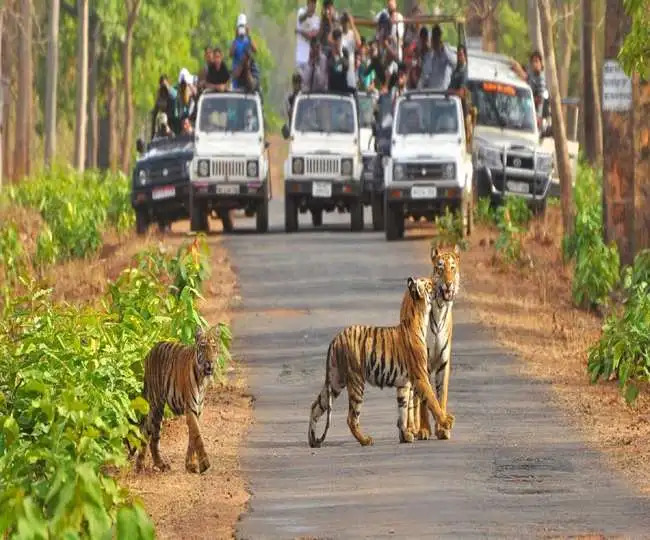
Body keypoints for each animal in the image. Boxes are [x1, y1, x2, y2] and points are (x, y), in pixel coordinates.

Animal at [134, 324, 220, 472]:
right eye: (203, 346)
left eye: (214, 347)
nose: (210, 362)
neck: (202, 378)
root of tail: (151, 350)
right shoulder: (190, 408)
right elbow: (197, 435)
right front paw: (204, 464)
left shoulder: (197, 410)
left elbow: (192, 436)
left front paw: (190, 464)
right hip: (156, 404)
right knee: (152, 434)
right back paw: (156, 464)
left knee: (148, 431)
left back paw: (143, 463)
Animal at [306, 274, 454, 448]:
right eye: (430, 284)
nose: (440, 284)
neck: (420, 316)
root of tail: (335, 339)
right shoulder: (421, 376)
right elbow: (432, 400)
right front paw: (446, 422)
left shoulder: (404, 384)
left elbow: (403, 410)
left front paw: (405, 436)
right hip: (356, 381)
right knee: (351, 418)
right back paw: (365, 440)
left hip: (335, 381)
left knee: (315, 406)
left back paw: (313, 440)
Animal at [408, 247, 458, 440]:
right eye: (440, 268)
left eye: (453, 268)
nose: (449, 284)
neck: (440, 307)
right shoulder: (424, 364)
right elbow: (425, 400)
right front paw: (424, 429)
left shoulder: (444, 363)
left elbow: (441, 396)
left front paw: (442, 429)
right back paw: (413, 428)